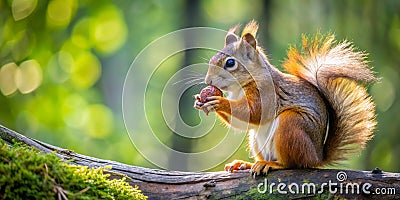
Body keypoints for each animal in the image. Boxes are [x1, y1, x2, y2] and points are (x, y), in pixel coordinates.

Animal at [194, 20, 378, 175]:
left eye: (230, 63)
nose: (208, 81)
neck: (241, 87)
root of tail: (317, 157)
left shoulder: (267, 93)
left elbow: (254, 111)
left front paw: (219, 102)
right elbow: (242, 122)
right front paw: (200, 101)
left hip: (291, 125)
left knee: (293, 163)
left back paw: (272, 164)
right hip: (256, 140)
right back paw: (245, 164)